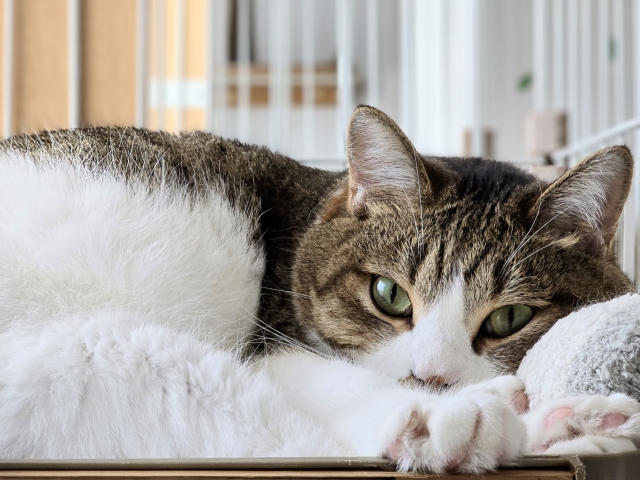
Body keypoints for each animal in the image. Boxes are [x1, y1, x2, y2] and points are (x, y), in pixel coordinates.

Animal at [1, 106, 640, 472]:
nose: (432, 378)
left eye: (510, 319)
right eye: (389, 295)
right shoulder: (274, 343)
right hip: (97, 350)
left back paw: (572, 425)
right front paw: (451, 410)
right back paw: (489, 421)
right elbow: (316, 378)